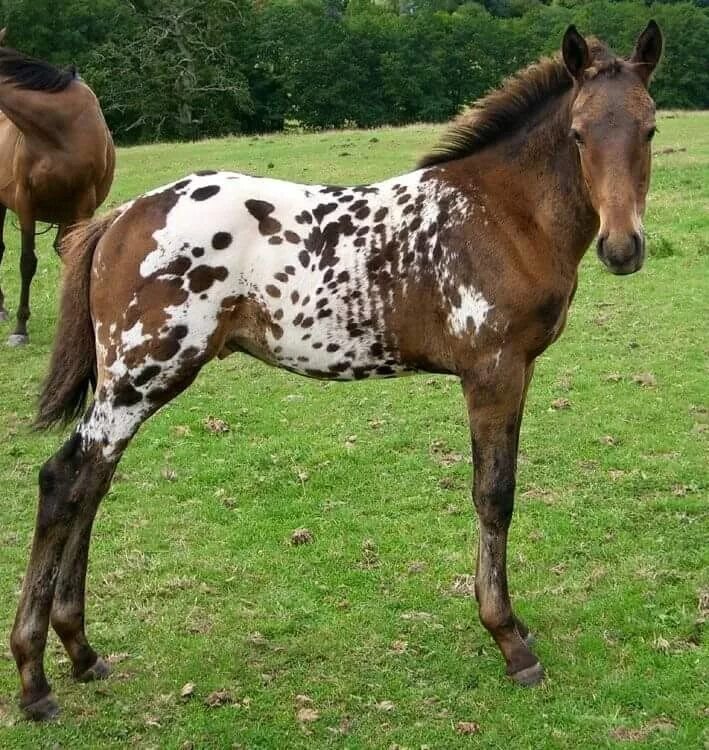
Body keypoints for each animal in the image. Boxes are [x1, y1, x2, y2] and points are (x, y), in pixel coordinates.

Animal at [12, 20, 664, 720]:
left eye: (651, 129)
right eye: (579, 132)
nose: (622, 247)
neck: (504, 214)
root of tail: (121, 218)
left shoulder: (520, 372)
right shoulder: (493, 371)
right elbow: (494, 496)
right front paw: (510, 641)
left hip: (133, 382)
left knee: (92, 482)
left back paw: (82, 653)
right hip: (143, 373)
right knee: (64, 479)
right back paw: (35, 680)